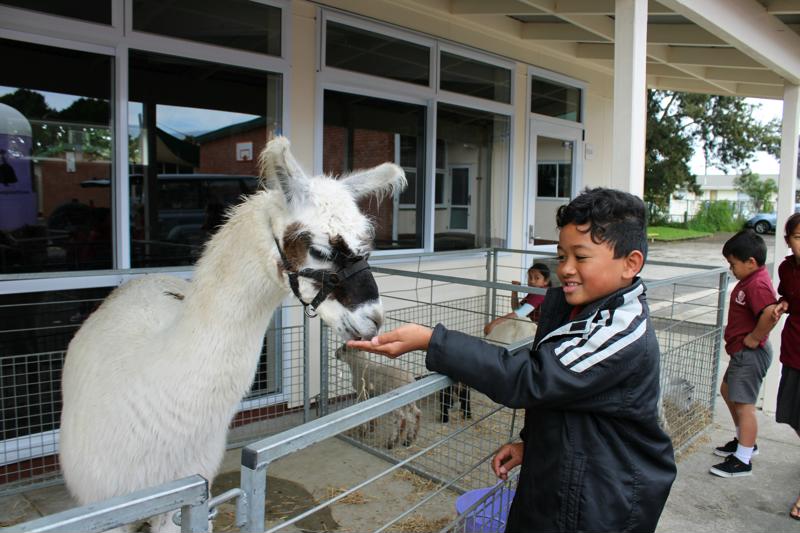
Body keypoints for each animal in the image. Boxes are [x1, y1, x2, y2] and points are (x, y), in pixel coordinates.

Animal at [59, 137, 406, 532]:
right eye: (320, 250)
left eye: (367, 246)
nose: (374, 319)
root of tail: (148, 277)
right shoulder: (107, 506)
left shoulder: (182, 500)